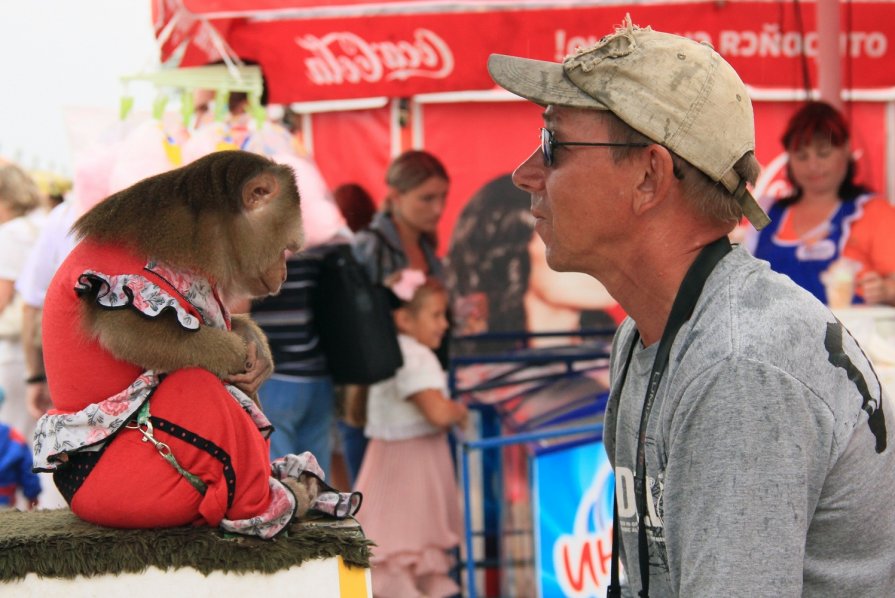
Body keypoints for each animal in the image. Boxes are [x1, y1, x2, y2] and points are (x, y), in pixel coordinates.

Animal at [31, 150, 360, 540]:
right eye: (286, 249)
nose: (283, 273)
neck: (204, 232)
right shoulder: (133, 281)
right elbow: (129, 333)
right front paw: (239, 354)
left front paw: (257, 348)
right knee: (200, 384)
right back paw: (271, 507)